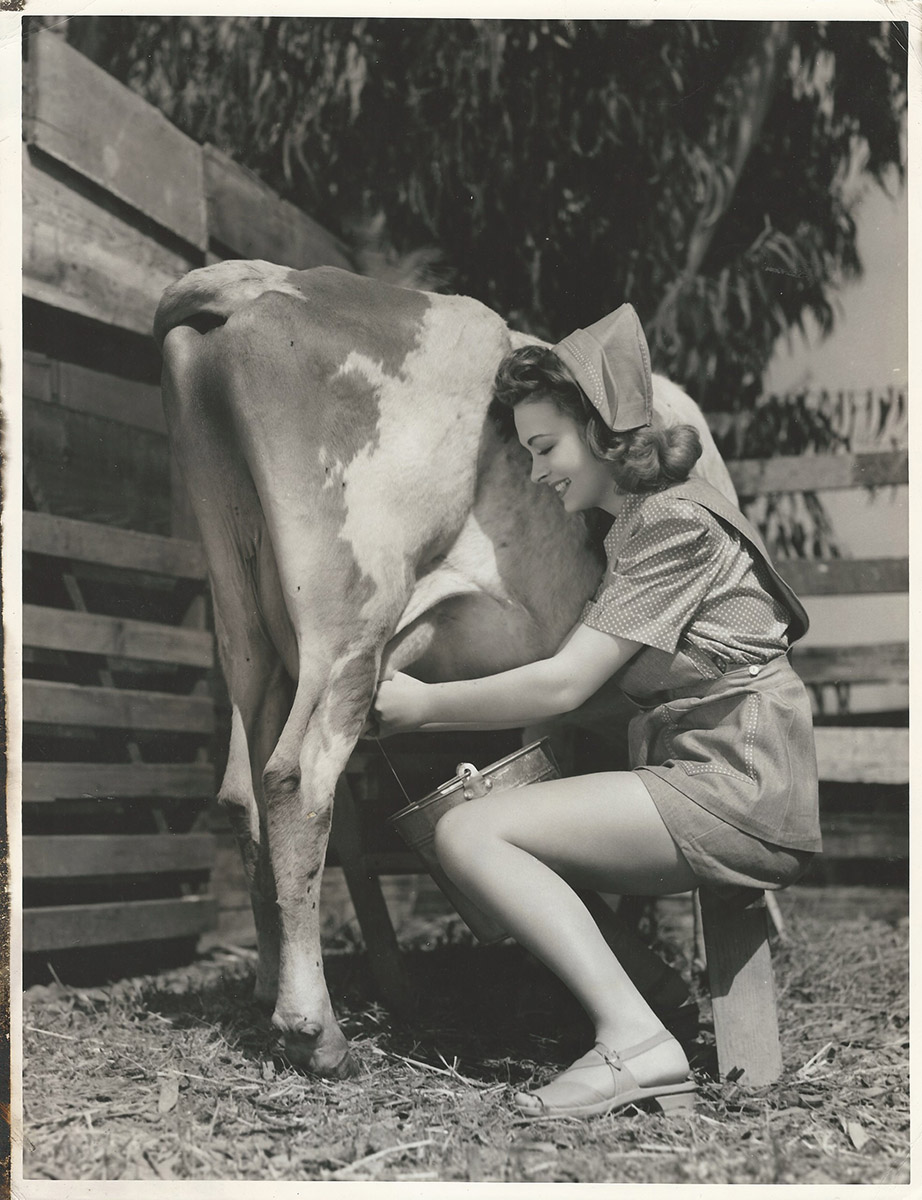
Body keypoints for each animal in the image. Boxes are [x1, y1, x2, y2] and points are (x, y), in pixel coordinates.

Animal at [154, 262, 739, 1080]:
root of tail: (266, 280)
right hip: (351, 613)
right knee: (297, 779)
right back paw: (315, 1030)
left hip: (244, 623)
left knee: (244, 791)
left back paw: (270, 991)